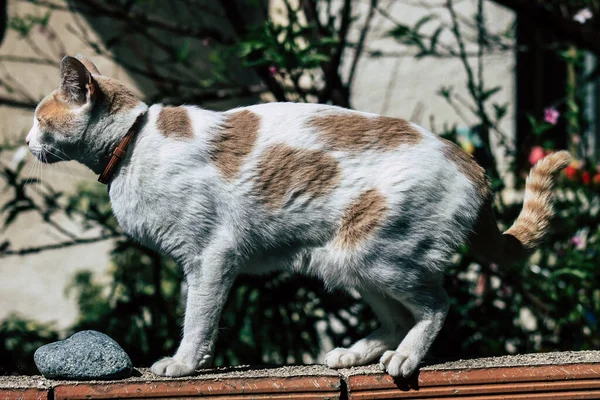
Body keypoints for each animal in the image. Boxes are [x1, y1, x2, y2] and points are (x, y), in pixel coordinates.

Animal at [24, 55, 572, 378]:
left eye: (39, 119)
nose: (26, 142)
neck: (134, 144)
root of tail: (471, 163)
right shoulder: (199, 262)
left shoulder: (211, 258)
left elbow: (197, 319)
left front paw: (182, 364)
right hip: (346, 261)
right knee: (398, 316)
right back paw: (351, 354)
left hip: (376, 255)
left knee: (437, 306)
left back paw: (404, 358)